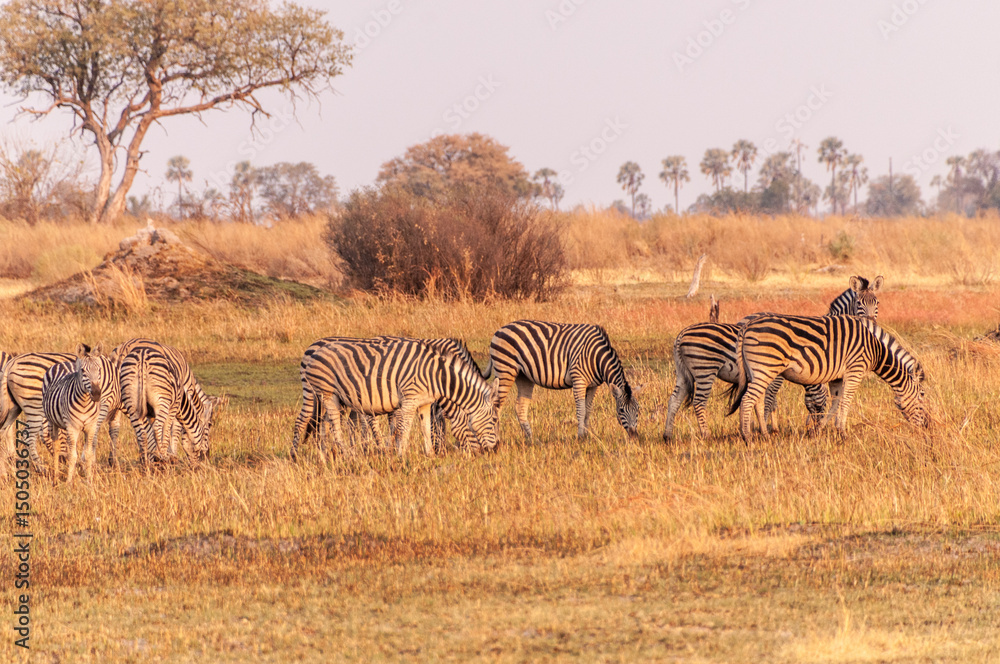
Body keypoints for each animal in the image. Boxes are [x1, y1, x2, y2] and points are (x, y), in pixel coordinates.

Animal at [41, 344, 121, 483]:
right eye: (83, 371)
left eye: (99, 370)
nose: (96, 394)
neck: (84, 403)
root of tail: (62, 363)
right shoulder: (72, 428)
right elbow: (72, 456)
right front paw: (69, 482)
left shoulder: (91, 427)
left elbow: (88, 454)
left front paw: (89, 481)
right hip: (52, 421)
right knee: (56, 446)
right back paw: (56, 476)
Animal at [290, 336, 497, 461]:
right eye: (494, 420)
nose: (494, 450)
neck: (437, 375)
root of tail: (315, 350)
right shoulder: (409, 400)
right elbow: (404, 428)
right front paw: (401, 456)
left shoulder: (424, 403)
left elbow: (424, 427)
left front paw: (430, 454)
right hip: (323, 393)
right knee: (323, 423)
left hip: (334, 398)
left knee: (323, 423)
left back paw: (324, 455)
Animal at [487, 320, 640, 441]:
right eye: (621, 410)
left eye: (638, 409)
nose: (634, 437)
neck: (597, 358)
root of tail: (501, 329)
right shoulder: (578, 380)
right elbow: (581, 410)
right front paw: (580, 437)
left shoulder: (593, 386)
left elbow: (588, 410)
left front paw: (587, 435)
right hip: (505, 371)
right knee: (496, 406)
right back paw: (497, 438)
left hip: (523, 376)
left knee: (520, 406)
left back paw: (531, 438)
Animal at [663, 276, 883, 440]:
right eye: (859, 303)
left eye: (876, 303)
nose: (872, 323)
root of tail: (681, 335)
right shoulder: (777, 375)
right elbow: (770, 400)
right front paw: (764, 429)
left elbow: (769, 401)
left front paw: (766, 427)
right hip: (705, 370)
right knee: (699, 403)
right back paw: (706, 435)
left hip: (684, 373)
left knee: (674, 400)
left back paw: (668, 436)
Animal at [727, 314, 926, 440]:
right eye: (923, 395)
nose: (926, 426)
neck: (875, 347)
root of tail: (747, 326)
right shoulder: (855, 369)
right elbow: (846, 401)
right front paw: (843, 433)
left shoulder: (837, 377)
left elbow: (835, 403)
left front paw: (819, 429)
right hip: (765, 368)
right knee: (747, 400)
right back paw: (747, 437)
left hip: (757, 371)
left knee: (757, 401)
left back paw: (765, 435)